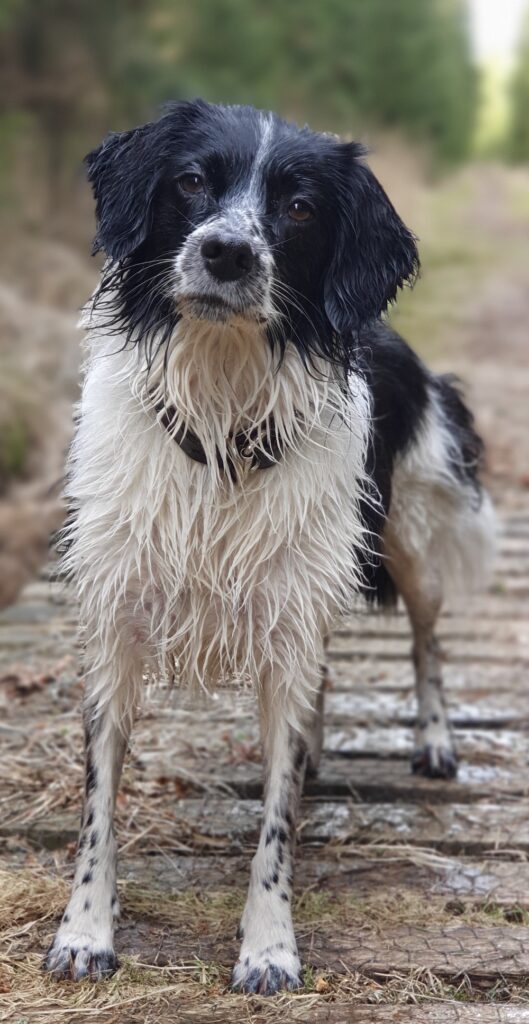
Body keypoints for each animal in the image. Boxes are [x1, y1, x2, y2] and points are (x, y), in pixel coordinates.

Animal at [42, 101, 495, 991]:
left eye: (300, 208)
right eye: (191, 181)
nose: (227, 251)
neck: (222, 407)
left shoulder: (290, 613)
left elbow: (275, 822)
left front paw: (269, 946)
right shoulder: (113, 623)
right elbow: (97, 806)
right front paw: (85, 931)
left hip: (406, 540)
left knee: (425, 638)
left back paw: (432, 738)